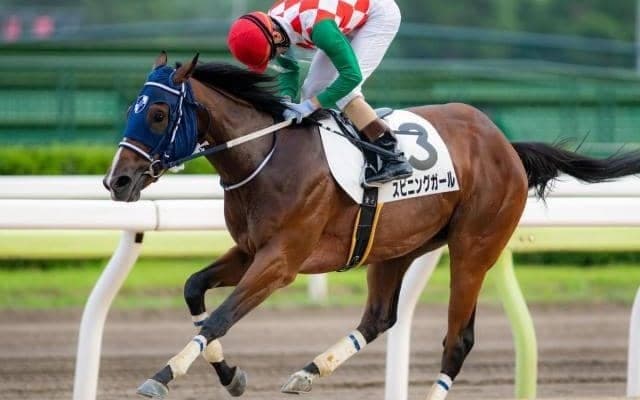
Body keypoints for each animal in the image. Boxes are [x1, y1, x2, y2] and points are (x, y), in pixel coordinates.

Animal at [104, 52, 640, 400]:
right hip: (393, 248)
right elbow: (196, 291)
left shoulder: (281, 262)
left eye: (158, 113)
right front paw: (230, 375)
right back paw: (309, 371)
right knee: (379, 318)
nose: (117, 180)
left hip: (475, 247)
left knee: (458, 341)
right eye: (133, 109)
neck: (265, 155)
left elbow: (219, 317)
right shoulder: (250, 251)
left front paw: (163, 375)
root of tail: (505, 144)